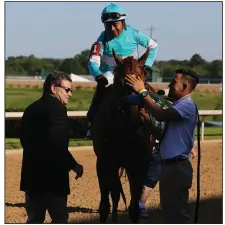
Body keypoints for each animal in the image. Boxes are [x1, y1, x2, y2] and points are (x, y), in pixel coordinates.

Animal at [91, 48, 156, 223]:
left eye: (142, 81)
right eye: (121, 83)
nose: (136, 119)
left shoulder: (138, 162)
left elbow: (134, 207)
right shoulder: (105, 162)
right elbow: (105, 204)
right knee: (114, 195)